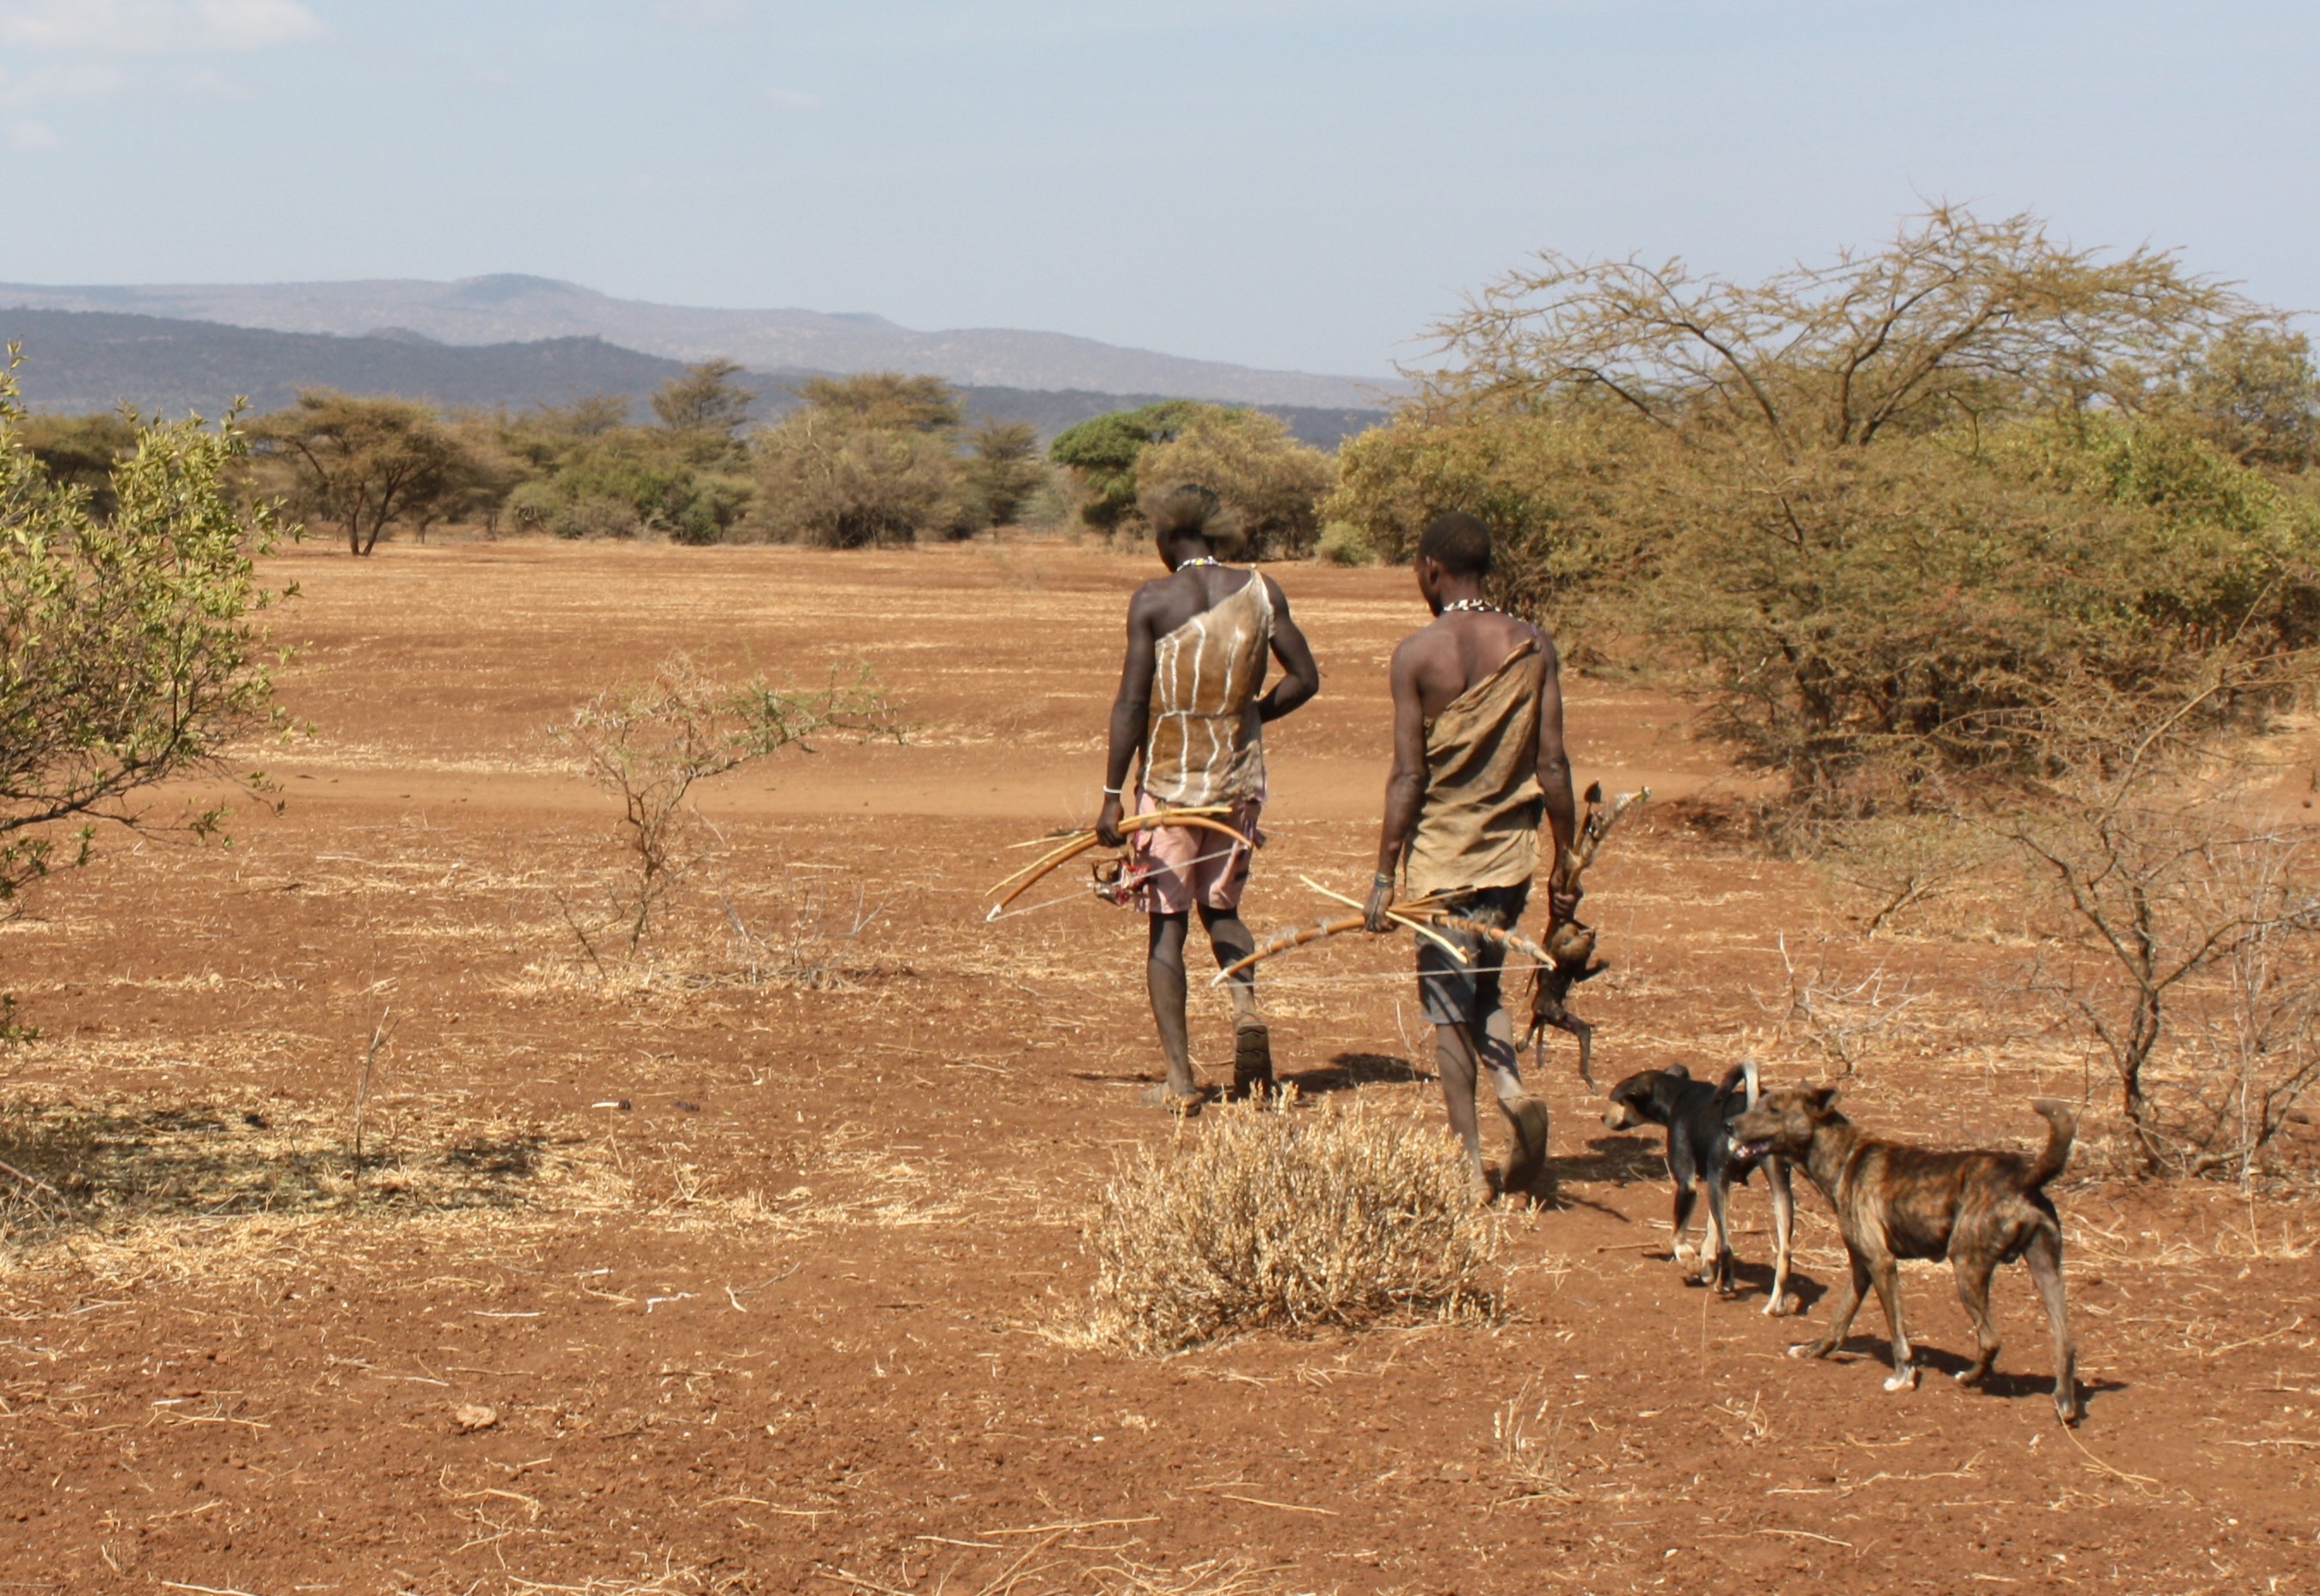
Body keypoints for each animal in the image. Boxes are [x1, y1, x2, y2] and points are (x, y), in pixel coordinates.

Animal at [1614, 1058, 1790, 1308]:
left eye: (1621, 1102)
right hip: (1778, 1187)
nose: (1603, 1118)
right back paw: (1775, 1305)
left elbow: (1677, 1233)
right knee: (1785, 1253)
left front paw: (1687, 1257)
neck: (1678, 1094)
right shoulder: (1723, 1184)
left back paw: (1724, 1285)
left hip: (1719, 1176)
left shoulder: (1689, 1183)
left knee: (1727, 1248)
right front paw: (1705, 1264)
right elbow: (1712, 1230)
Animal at [1726, 1085, 2088, 1419]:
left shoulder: (1882, 1264)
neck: (1844, 1157)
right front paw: (1813, 1351)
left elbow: (1897, 1332)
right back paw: (2065, 1402)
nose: (1729, 1124)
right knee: (2066, 1343)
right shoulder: (1861, 1267)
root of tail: (2022, 1177)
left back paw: (1969, 1378)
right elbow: (1838, 1321)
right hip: (2046, 1271)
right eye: (1758, 1105)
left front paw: (1903, 1377)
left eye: (1773, 1110)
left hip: (1966, 1268)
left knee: (1991, 1341)